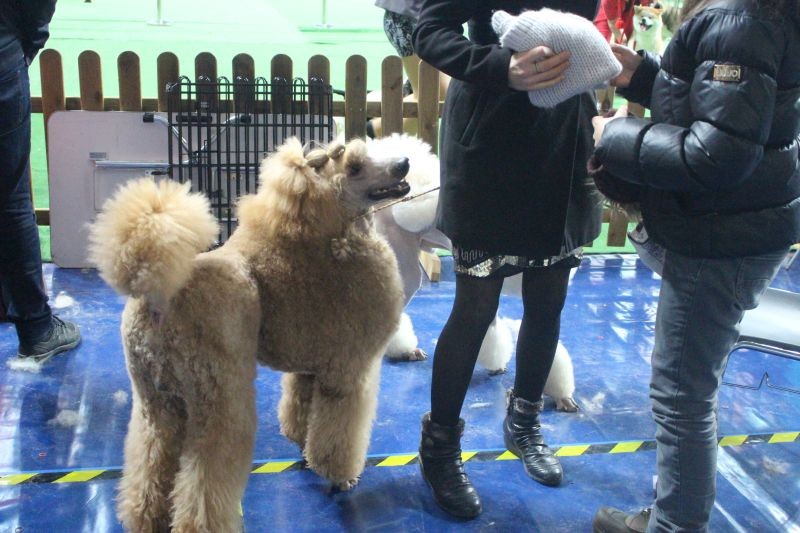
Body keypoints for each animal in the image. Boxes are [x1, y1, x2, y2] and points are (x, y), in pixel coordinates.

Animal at [89, 137, 409, 531]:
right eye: (354, 168)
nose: (403, 164)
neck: (332, 235)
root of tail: (157, 298)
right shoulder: (348, 371)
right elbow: (339, 433)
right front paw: (340, 477)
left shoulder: (310, 367)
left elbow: (302, 412)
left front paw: (302, 449)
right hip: (220, 396)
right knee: (206, 473)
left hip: (155, 402)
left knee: (149, 461)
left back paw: (145, 517)